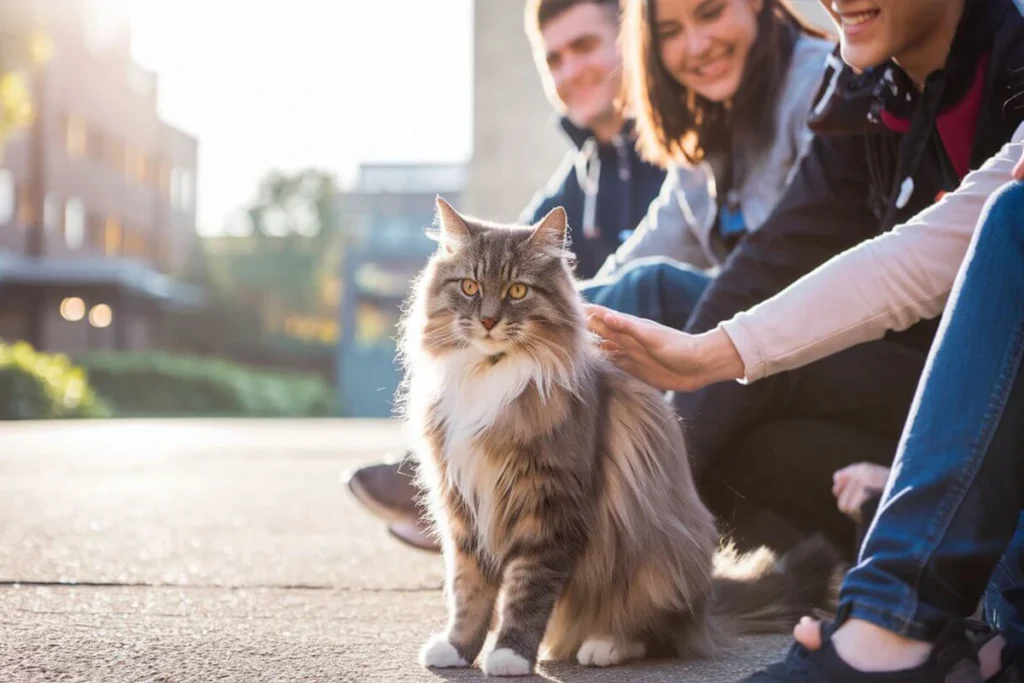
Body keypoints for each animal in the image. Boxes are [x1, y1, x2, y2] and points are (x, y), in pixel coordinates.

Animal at [395, 198, 835, 679]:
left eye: (517, 291)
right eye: (470, 286)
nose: (488, 320)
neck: (491, 373)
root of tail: (707, 609)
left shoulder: (551, 507)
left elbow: (527, 591)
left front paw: (510, 654)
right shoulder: (462, 506)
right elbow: (469, 592)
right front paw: (457, 649)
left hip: (657, 565)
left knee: (653, 633)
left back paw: (603, 645)